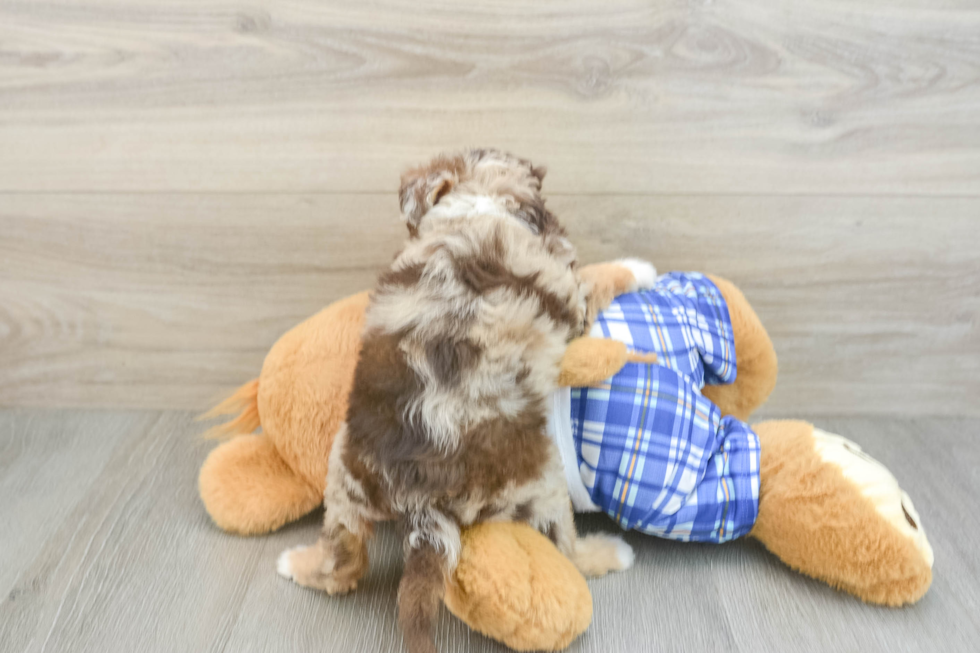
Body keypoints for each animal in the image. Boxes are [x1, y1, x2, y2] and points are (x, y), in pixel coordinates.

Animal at [276, 149, 632, 652]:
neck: (477, 207)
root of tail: (421, 501)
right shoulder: (570, 293)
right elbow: (595, 278)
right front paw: (637, 268)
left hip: (344, 473)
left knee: (341, 563)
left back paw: (294, 563)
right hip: (542, 483)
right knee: (567, 548)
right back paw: (610, 552)